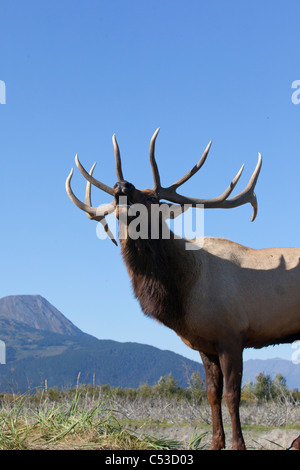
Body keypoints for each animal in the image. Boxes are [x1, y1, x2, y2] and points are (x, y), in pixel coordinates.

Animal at [65, 129, 300, 452]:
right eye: (114, 199)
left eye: (152, 197)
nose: (121, 185)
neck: (181, 295)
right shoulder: (205, 344)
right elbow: (212, 395)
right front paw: (215, 444)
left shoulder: (232, 335)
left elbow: (232, 396)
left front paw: (238, 445)